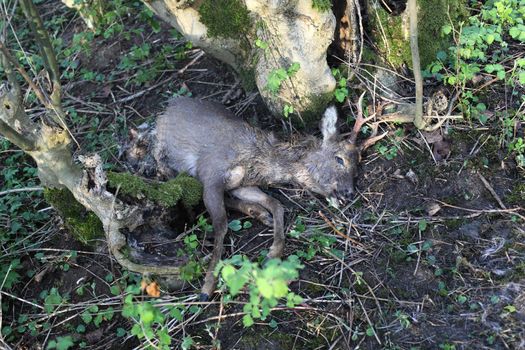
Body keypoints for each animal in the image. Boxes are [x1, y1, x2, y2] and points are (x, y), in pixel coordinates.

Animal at [154, 95, 382, 300]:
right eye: (339, 159)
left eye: (357, 170)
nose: (348, 192)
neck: (253, 161)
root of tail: (167, 107)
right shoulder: (210, 170)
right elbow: (221, 225)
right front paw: (207, 286)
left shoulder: (241, 184)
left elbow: (276, 203)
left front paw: (273, 253)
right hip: (162, 156)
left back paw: (259, 213)